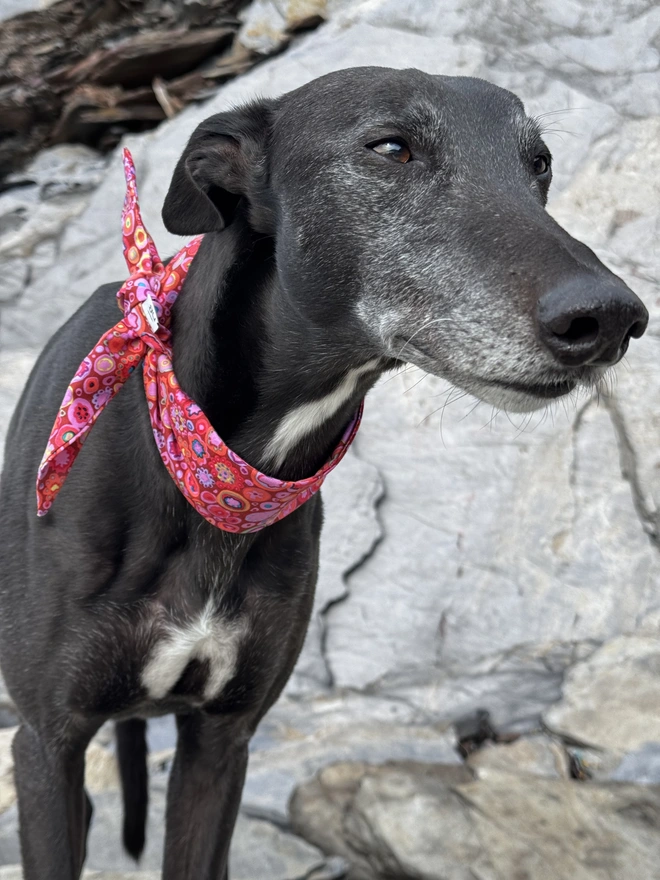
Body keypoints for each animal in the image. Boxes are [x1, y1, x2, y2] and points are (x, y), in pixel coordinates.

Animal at [0, 65, 648, 876]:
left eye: (541, 163)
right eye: (392, 148)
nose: (612, 320)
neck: (209, 471)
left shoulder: (223, 740)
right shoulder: (46, 742)